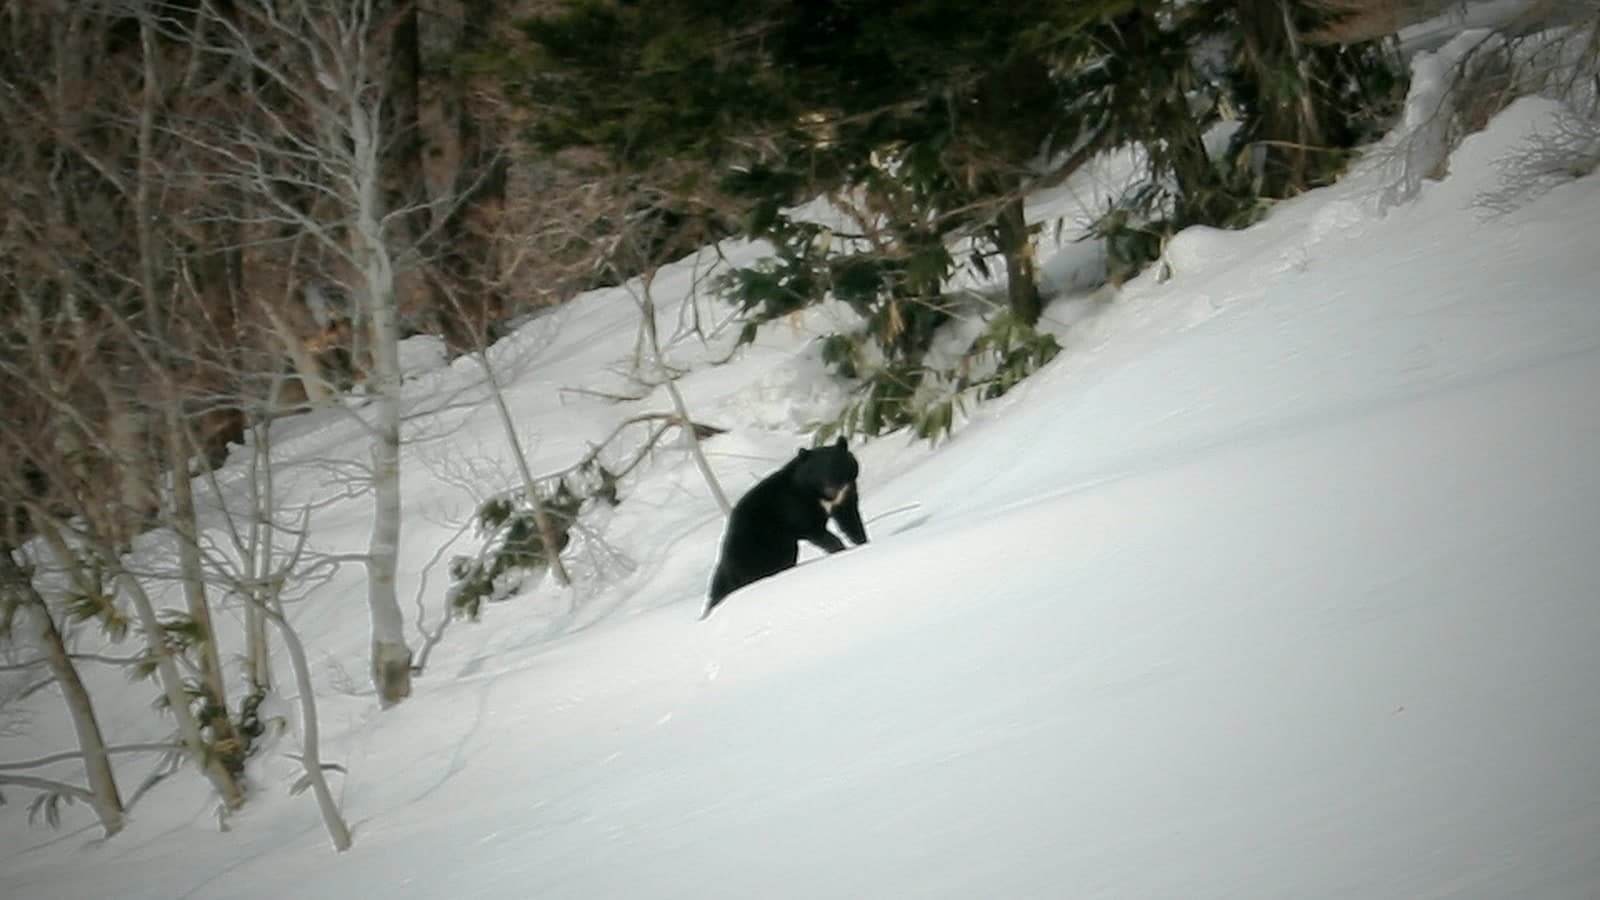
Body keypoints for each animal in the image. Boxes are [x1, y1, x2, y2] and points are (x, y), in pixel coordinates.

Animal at [704, 436, 868, 617]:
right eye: (818, 473)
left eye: (837, 467)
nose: (831, 490)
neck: (821, 496)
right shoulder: (794, 505)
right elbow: (812, 528)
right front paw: (839, 549)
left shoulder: (846, 493)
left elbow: (850, 520)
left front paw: (863, 542)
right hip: (762, 547)